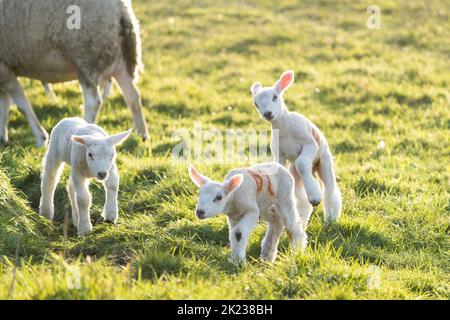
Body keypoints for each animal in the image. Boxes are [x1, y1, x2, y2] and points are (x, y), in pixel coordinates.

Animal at [0, 0, 149, 148]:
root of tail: (120, 7)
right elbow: (4, 104)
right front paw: (2, 137)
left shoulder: (4, 67)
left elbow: (21, 105)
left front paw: (40, 137)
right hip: (119, 63)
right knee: (133, 96)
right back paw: (142, 135)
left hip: (85, 57)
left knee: (94, 102)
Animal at [250, 70, 342, 225]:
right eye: (256, 104)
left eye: (275, 97)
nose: (268, 113)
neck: (285, 129)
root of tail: (313, 168)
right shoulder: (279, 153)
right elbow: (279, 170)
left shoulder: (310, 143)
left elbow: (302, 163)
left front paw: (315, 197)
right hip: (294, 172)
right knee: (301, 199)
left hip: (324, 161)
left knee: (330, 191)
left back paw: (330, 219)